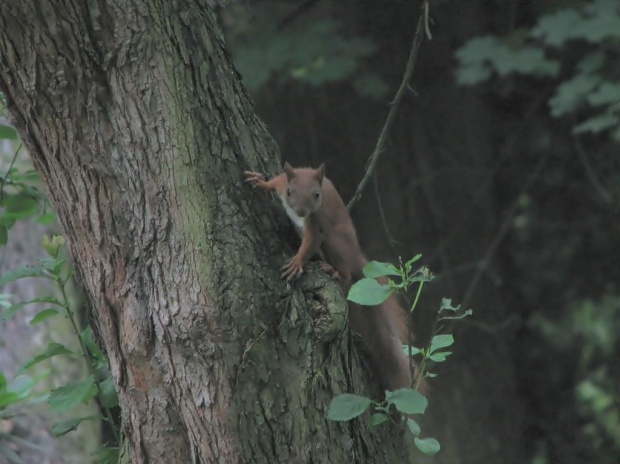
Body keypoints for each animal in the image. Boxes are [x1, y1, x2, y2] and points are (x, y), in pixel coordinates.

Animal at [243, 163, 422, 392]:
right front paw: (259, 180)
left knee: (345, 275)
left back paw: (332, 270)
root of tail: (355, 255)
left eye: (316, 195)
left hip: (335, 242)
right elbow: (275, 181)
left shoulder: (316, 222)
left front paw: (297, 262)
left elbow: (310, 242)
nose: (301, 211)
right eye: (290, 192)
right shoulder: (284, 182)